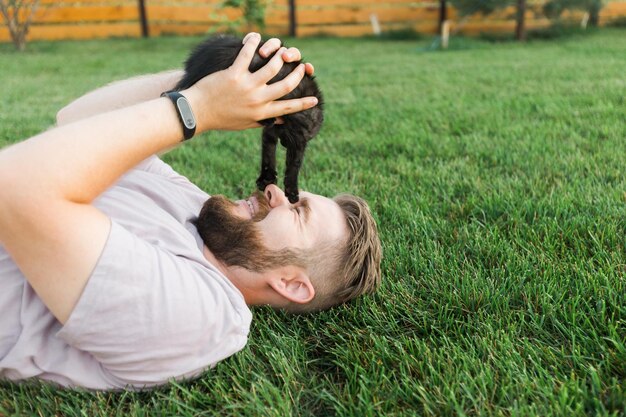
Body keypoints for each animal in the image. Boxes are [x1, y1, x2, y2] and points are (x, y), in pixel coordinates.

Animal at [174, 35, 324, 204]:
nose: (284, 143)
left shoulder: (272, 134)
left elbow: (268, 155)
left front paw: (266, 179)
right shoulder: (298, 139)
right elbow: (293, 165)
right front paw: (291, 192)